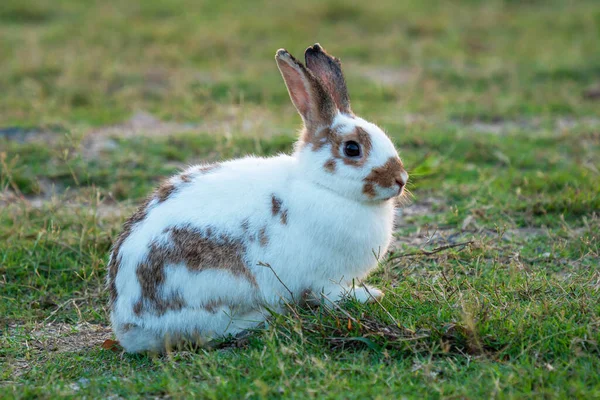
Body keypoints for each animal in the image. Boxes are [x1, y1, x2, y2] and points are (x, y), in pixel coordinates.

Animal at [106, 42, 408, 352]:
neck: (320, 184)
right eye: (352, 149)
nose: (400, 179)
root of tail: (129, 324)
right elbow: (329, 295)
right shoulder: (327, 279)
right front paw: (369, 295)